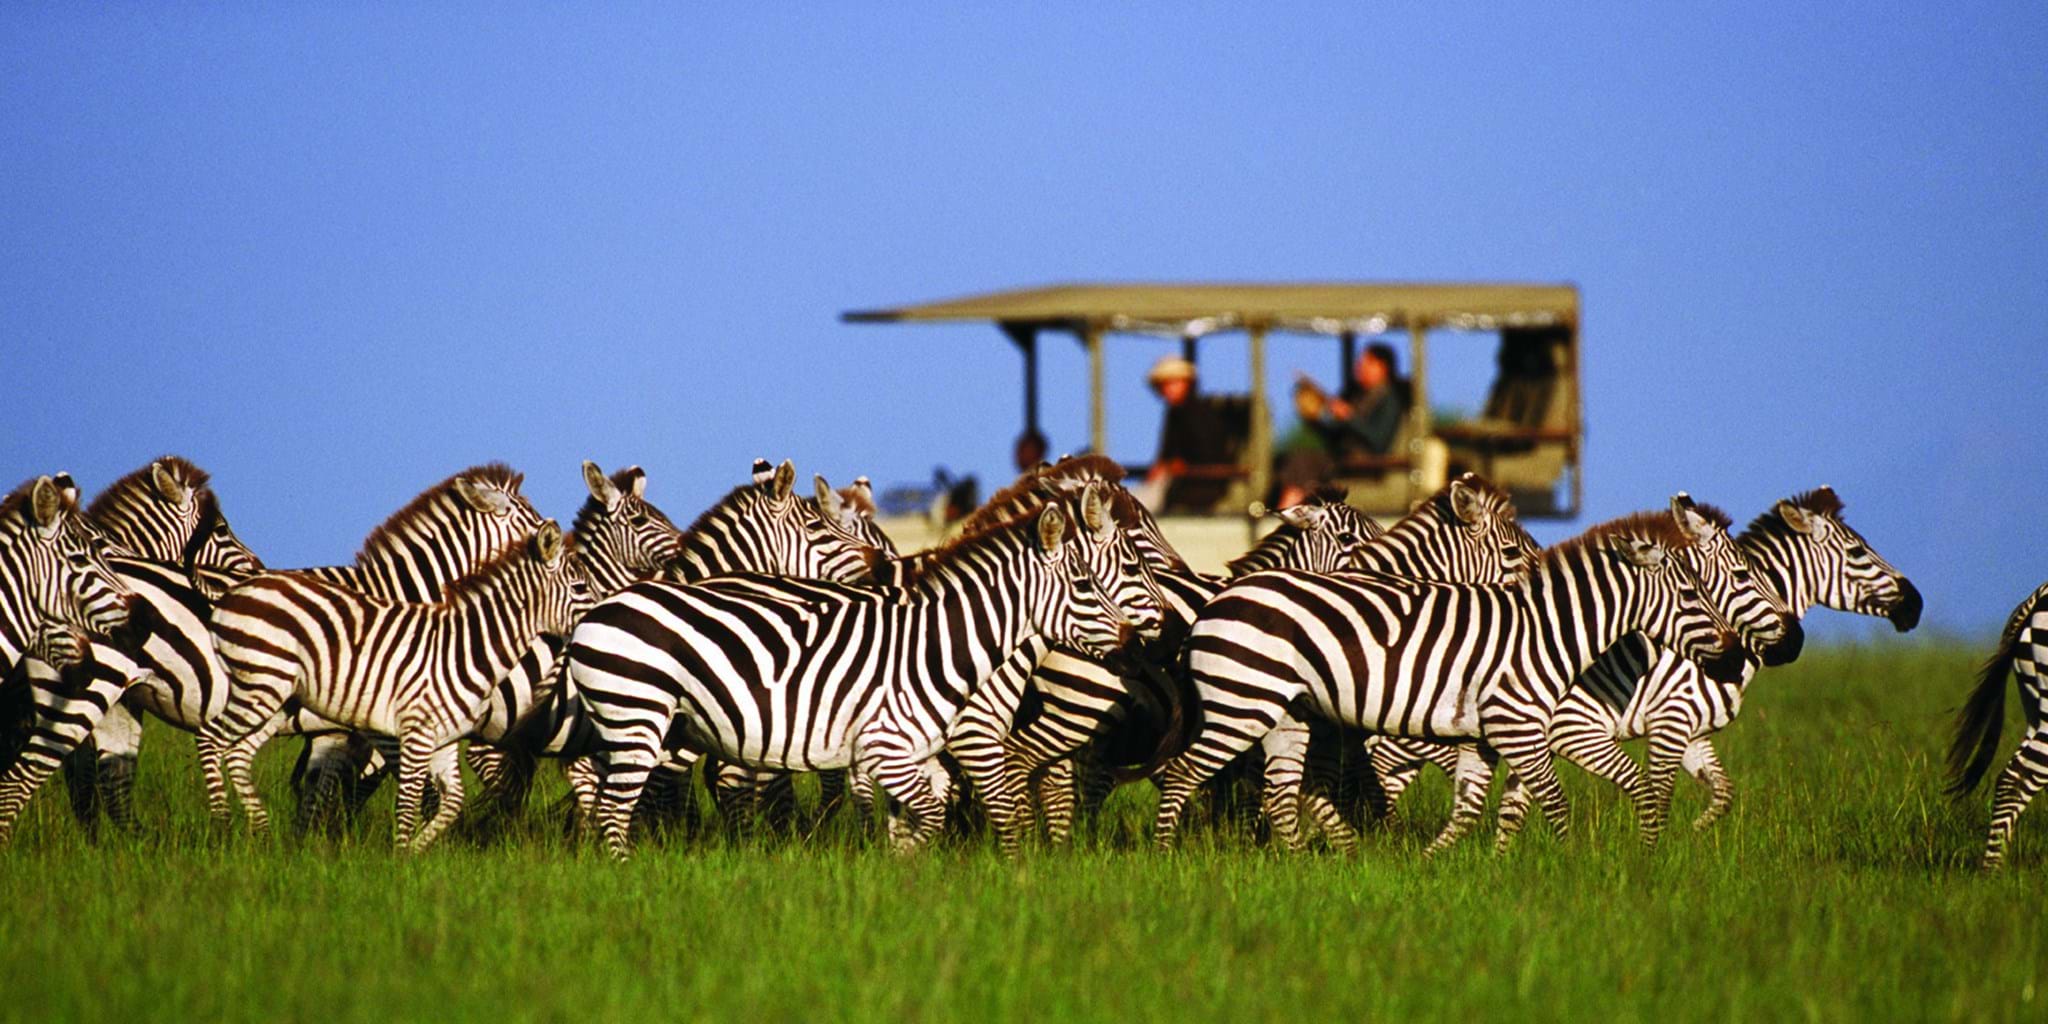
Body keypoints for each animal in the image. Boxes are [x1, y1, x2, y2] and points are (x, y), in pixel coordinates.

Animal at [206, 521, 592, 850]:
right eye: (579, 588)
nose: (601, 618)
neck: (466, 647)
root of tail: (236, 589)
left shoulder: (444, 740)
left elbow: (451, 803)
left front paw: (420, 850)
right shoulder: (416, 733)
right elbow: (408, 804)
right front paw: (402, 862)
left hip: (274, 694)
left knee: (238, 751)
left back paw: (263, 833)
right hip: (261, 683)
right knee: (211, 739)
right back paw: (222, 825)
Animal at [567, 481, 1167, 858]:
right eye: (1099, 578)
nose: (1145, 639)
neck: (943, 645)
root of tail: (598, 609)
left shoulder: (920, 753)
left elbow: (921, 818)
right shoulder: (937, 743)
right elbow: (983, 810)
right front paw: (1016, 873)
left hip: (638, 726)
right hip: (643, 719)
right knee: (627, 803)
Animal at [1148, 508, 1751, 854]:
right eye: (1692, 594)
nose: (1732, 657)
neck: (1546, 633)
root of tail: (1217, 601)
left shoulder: (1481, 737)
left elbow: (1470, 807)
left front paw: (1442, 865)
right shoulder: (1517, 727)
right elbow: (1555, 801)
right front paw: (1574, 865)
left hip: (1286, 713)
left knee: (1278, 793)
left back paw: (1301, 865)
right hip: (1241, 704)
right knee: (1182, 774)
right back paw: (1164, 854)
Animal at [1372, 488, 1912, 849]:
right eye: (1859, 552)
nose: (1916, 606)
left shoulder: (1691, 730)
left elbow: (1722, 793)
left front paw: (1692, 836)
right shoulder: (1635, 722)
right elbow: (1658, 792)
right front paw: (1653, 856)